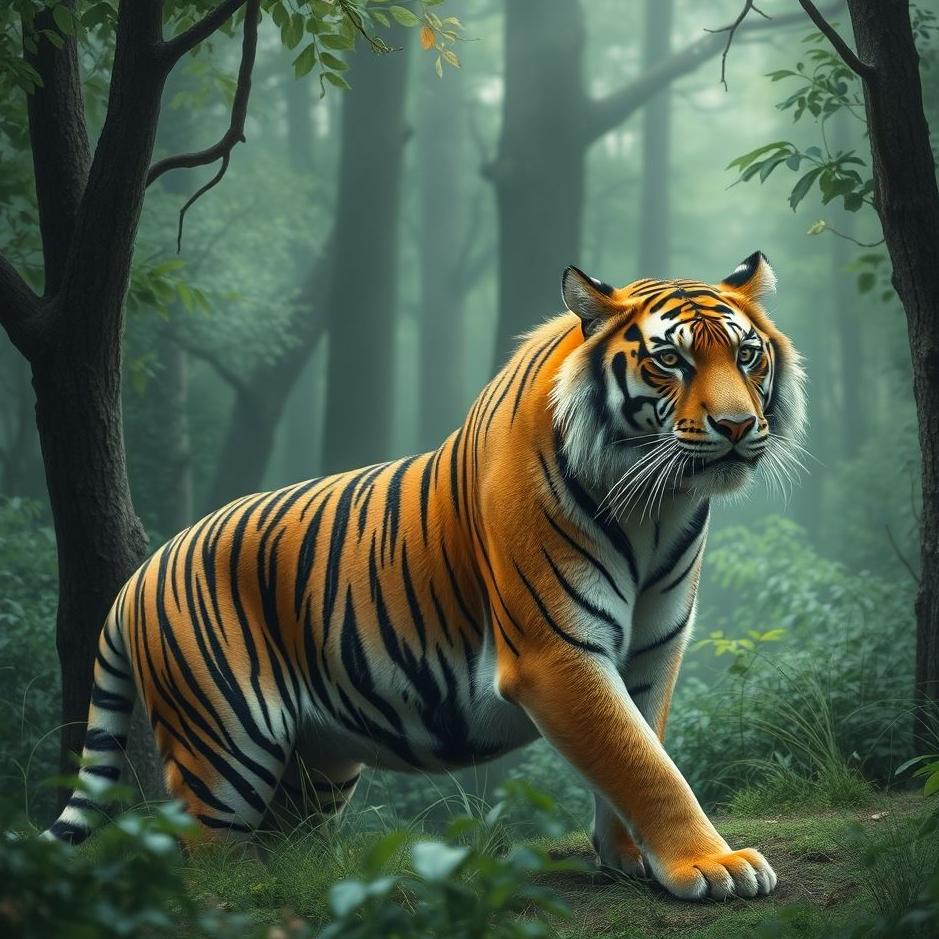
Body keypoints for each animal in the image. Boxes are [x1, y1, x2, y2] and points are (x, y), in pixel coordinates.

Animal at [44, 250, 805, 901]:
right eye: (670, 360)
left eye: (745, 354)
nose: (736, 425)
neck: (656, 505)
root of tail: (143, 570)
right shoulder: (555, 653)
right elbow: (642, 762)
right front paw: (710, 864)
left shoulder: (652, 648)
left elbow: (642, 742)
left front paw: (630, 857)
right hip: (223, 745)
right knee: (205, 855)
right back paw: (244, 894)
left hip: (316, 762)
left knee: (287, 838)